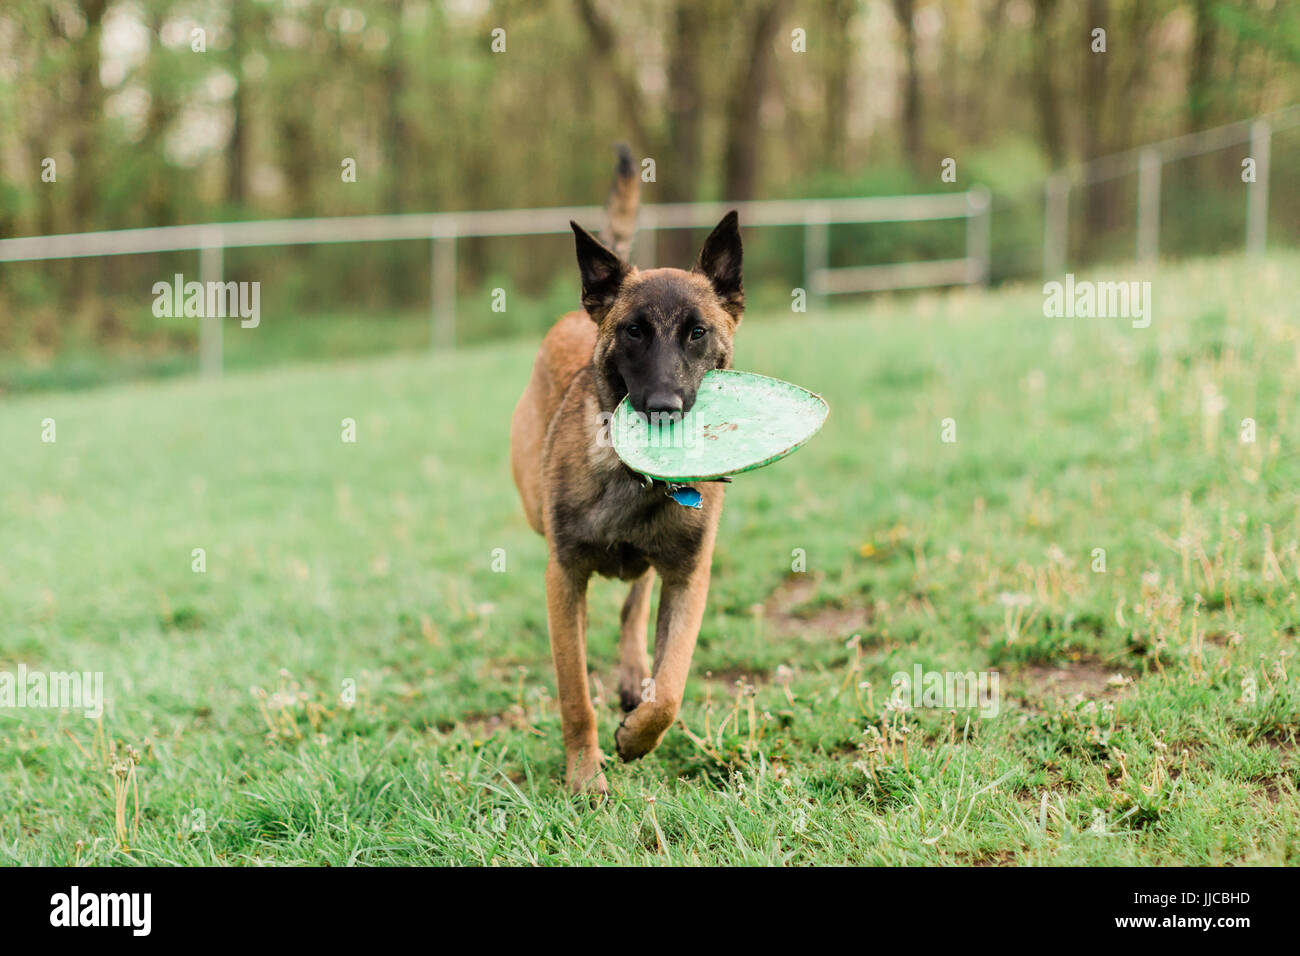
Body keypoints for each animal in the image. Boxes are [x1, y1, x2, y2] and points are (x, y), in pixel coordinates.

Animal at [512, 147, 748, 790]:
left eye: (697, 332)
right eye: (634, 331)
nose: (664, 407)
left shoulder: (691, 577)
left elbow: (670, 689)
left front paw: (638, 735)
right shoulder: (562, 577)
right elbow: (574, 694)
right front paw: (584, 776)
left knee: (636, 599)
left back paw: (632, 672)